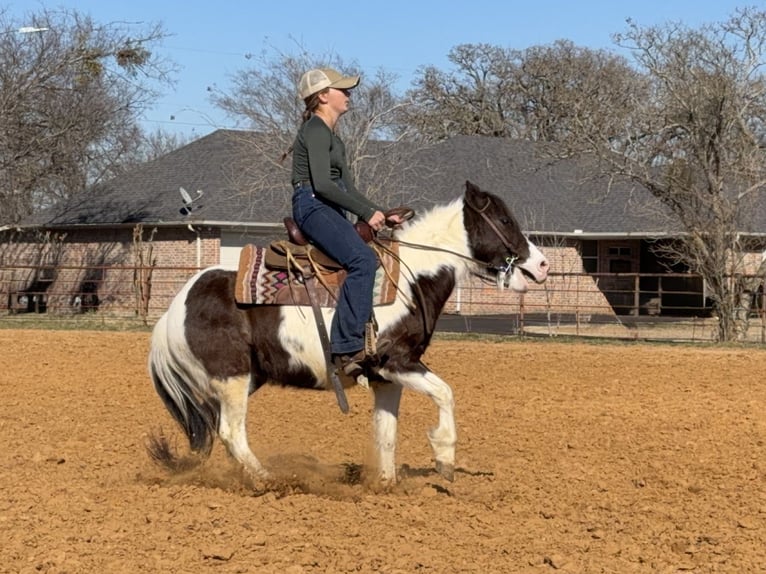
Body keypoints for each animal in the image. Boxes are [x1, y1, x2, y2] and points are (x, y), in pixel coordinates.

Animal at [147, 180, 549, 486]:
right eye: (504, 219)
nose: (543, 265)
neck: (411, 279)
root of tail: (174, 309)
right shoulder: (396, 362)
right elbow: (445, 394)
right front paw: (444, 458)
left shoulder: (386, 379)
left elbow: (386, 433)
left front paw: (385, 485)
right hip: (231, 376)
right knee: (232, 432)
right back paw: (269, 481)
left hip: (243, 379)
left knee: (219, 429)